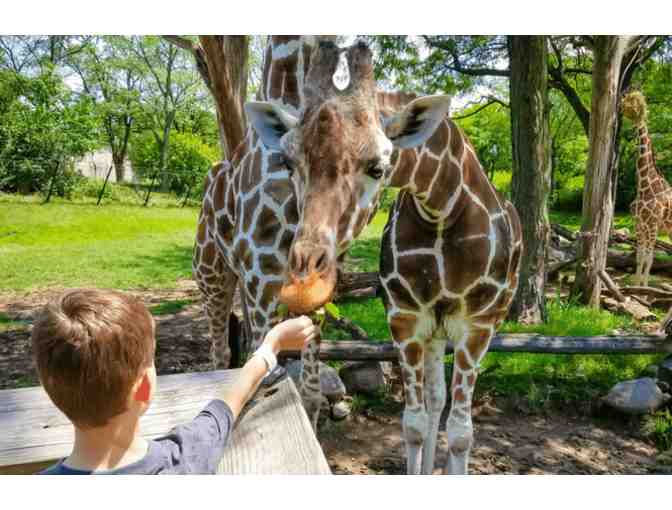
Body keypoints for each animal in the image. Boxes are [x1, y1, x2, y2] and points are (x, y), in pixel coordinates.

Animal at [190, 36, 452, 426]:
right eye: (287, 161)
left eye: (378, 167)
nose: (305, 267)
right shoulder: (260, 279)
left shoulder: (317, 293)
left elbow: (310, 395)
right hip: (212, 274)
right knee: (220, 355)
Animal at [378, 90, 524, 474]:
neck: (441, 211)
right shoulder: (405, 317)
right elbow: (413, 424)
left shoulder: (478, 325)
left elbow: (461, 433)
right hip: (436, 329)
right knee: (436, 398)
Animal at [620, 91, 672, 286]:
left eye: (631, 103)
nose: (620, 108)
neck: (643, 186)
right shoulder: (639, 225)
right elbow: (640, 257)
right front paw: (636, 285)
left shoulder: (652, 226)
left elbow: (649, 258)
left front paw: (645, 286)